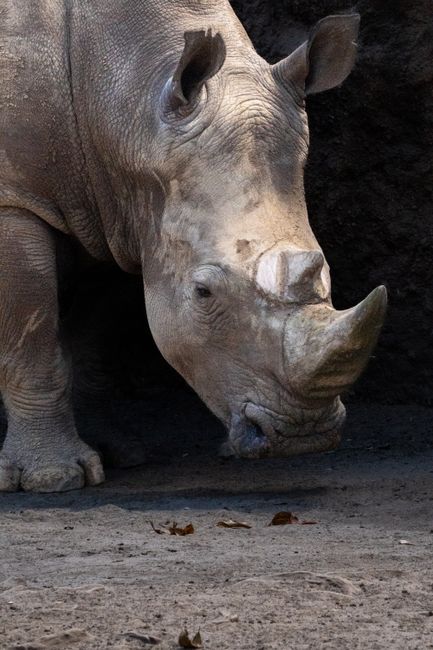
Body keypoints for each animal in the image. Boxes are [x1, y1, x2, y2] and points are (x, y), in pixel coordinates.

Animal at [0, 0, 387, 493]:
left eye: (327, 273)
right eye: (203, 293)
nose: (304, 435)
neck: (132, 101)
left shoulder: (118, 209)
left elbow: (94, 332)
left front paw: (117, 453)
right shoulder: (14, 199)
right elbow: (30, 334)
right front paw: (53, 479)